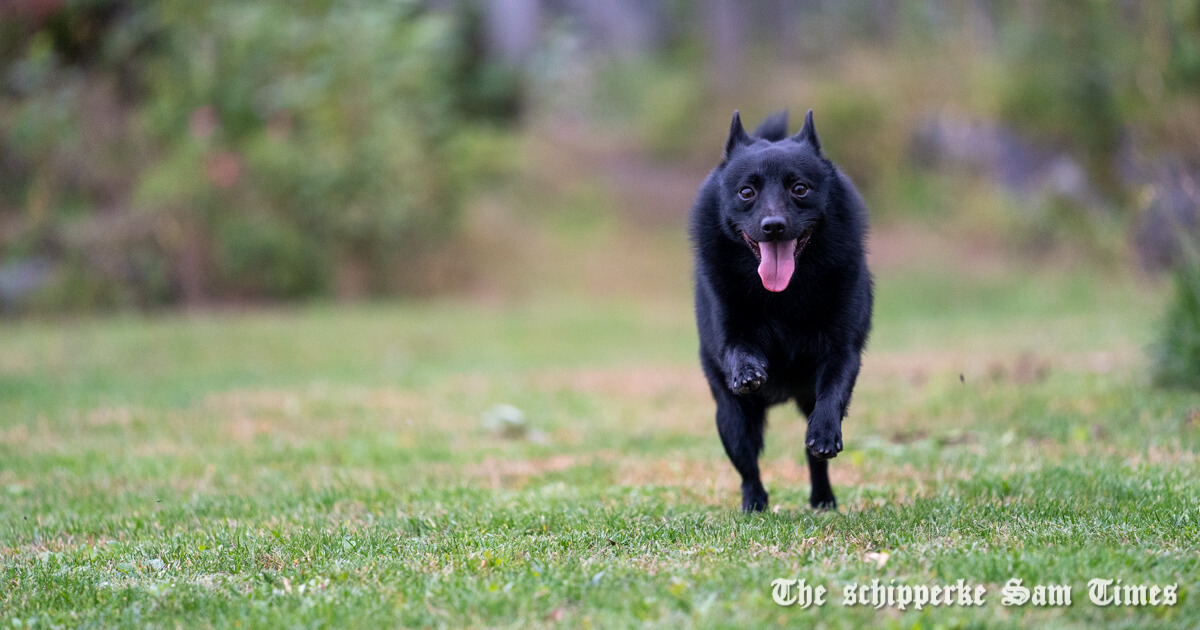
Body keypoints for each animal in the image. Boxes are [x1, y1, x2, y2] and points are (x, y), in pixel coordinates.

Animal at [696, 108, 873, 511]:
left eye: (800, 189)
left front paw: (825, 433)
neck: (783, 297)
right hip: (731, 419)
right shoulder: (730, 334)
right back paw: (755, 504)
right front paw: (748, 371)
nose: (773, 226)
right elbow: (739, 348)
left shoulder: (843, 350)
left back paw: (823, 500)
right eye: (747, 192)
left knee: (813, 460)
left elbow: (834, 390)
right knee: (748, 466)